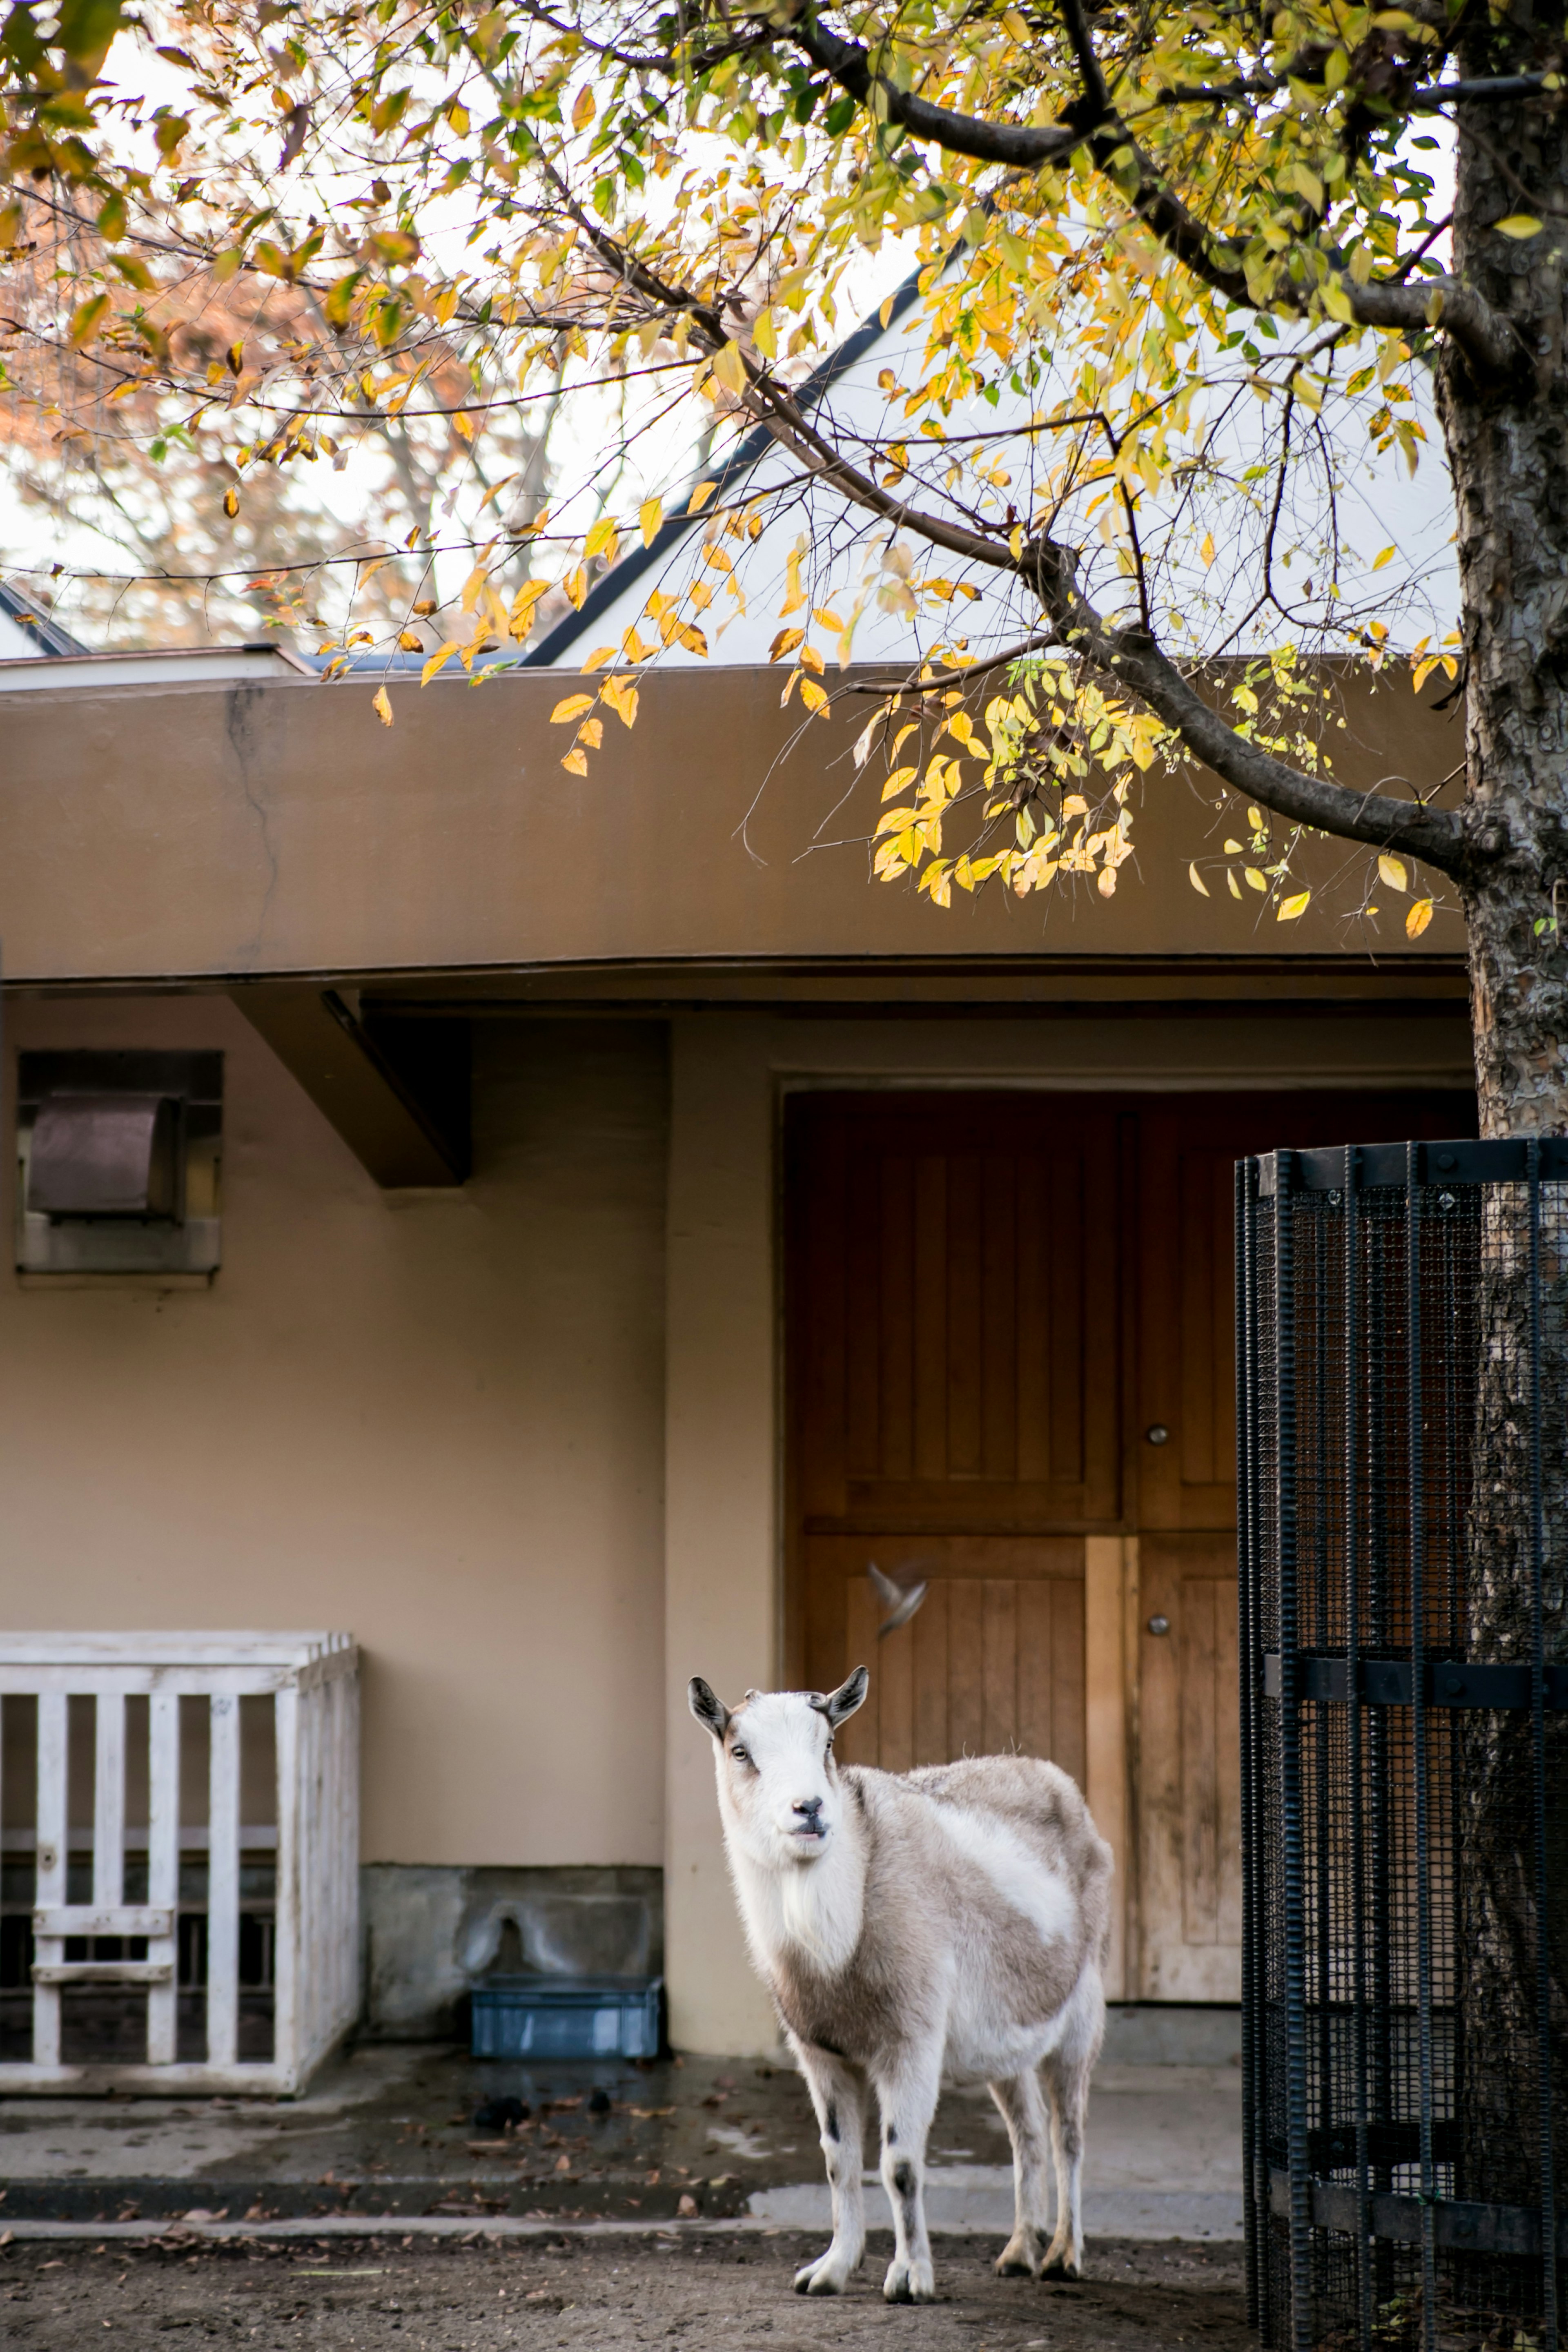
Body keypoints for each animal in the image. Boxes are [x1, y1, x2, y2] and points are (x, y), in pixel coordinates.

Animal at [691, 1665, 1114, 2305]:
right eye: (741, 1751)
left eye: (828, 1744)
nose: (809, 1808)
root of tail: (1058, 1782)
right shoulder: (819, 2051)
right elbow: (838, 2158)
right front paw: (831, 2268)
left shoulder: (910, 2039)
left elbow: (900, 2164)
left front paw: (910, 2276)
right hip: (1005, 2038)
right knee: (1028, 2131)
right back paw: (1019, 2250)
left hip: (1083, 2005)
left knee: (1069, 2134)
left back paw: (1064, 2253)